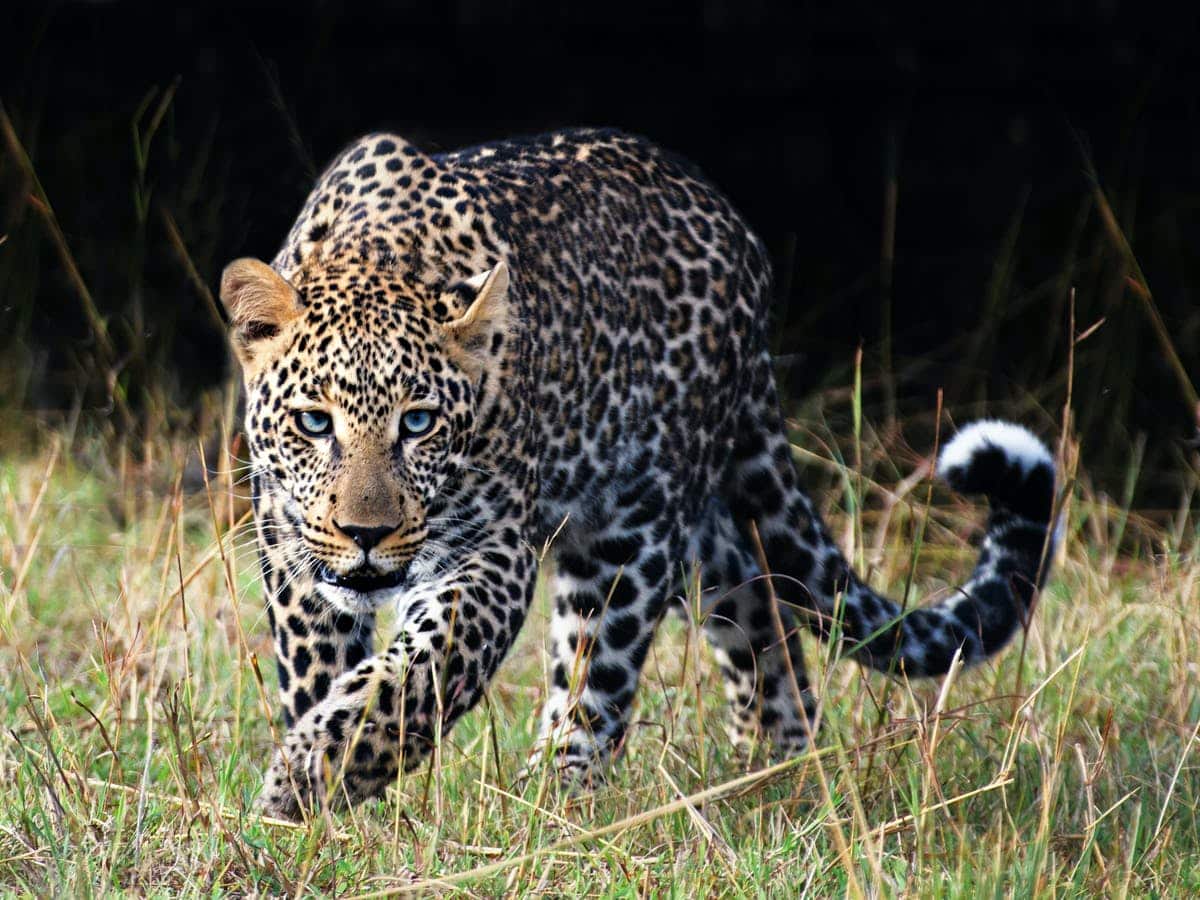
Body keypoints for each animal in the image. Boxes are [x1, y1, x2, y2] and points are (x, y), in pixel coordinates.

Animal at [218, 128, 1059, 820]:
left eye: (418, 423)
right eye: (315, 422)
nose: (367, 532)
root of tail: (738, 235)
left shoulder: (490, 551)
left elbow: (420, 673)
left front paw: (306, 782)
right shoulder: (289, 545)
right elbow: (321, 668)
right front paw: (324, 808)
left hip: (634, 531)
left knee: (596, 687)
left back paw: (554, 810)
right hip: (703, 542)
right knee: (762, 619)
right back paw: (774, 776)